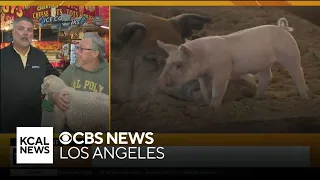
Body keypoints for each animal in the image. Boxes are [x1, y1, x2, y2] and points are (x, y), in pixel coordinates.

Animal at [156, 17, 312, 108]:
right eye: (167, 62)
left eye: (179, 65)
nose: (160, 82)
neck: (203, 58)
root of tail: (282, 28)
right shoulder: (202, 75)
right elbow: (204, 89)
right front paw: (206, 103)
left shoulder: (223, 70)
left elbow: (217, 88)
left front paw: (213, 108)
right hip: (265, 64)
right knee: (267, 76)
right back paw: (257, 98)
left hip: (290, 53)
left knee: (298, 72)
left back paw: (305, 98)